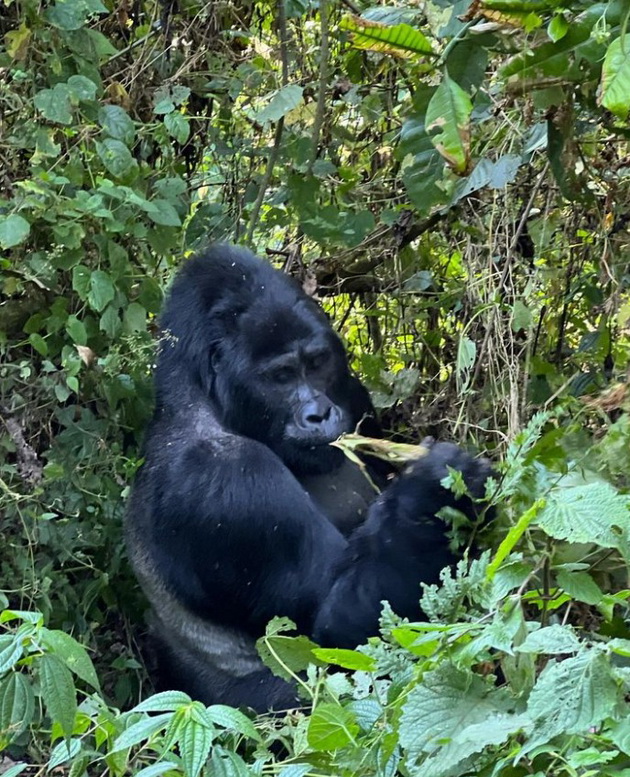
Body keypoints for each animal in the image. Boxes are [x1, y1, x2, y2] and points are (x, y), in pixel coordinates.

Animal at [126, 242, 492, 708]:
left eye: (317, 363)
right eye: (280, 376)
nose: (318, 413)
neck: (201, 398)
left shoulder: (352, 392)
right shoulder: (226, 476)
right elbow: (338, 632)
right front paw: (430, 493)